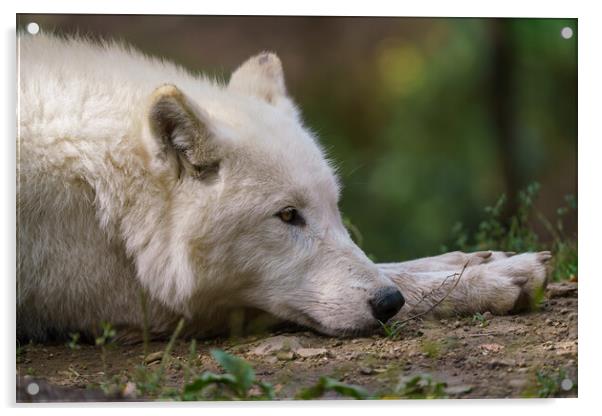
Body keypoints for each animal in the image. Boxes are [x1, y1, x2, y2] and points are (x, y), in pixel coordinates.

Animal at [15, 34, 548, 342]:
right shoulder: (140, 306)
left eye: (335, 210)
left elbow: (388, 264)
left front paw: (476, 261)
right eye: (288, 216)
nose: (387, 303)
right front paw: (487, 280)